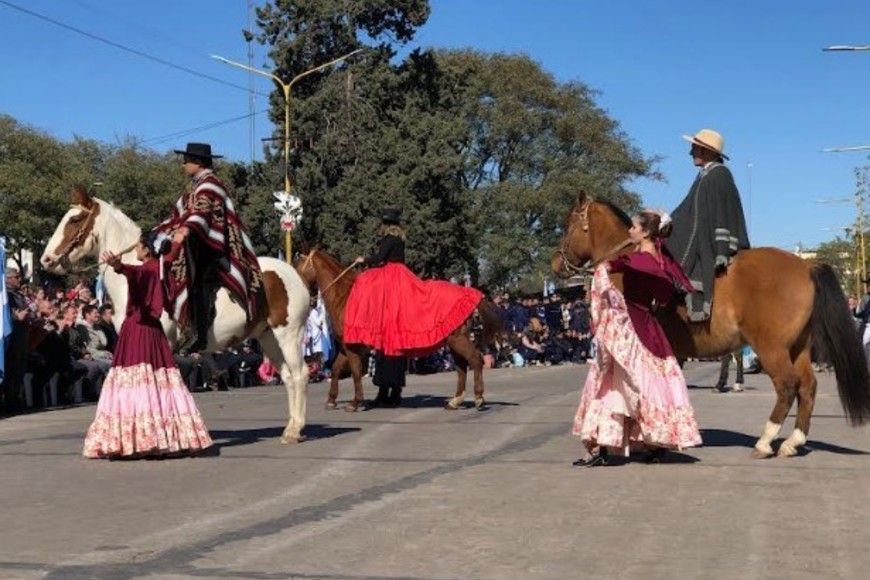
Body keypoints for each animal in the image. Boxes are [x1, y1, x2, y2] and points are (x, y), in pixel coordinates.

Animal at [41, 190, 314, 444]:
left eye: (74, 219)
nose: (46, 260)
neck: (138, 275)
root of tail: (294, 274)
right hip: (269, 338)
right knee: (288, 377)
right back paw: (290, 428)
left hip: (289, 335)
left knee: (300, 374)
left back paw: (295, 431)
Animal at [294, 251, 504, 410]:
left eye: (297, 266)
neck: (345, 296)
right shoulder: (347, 348)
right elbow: (337, 370)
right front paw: (331, 400)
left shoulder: (353, 348)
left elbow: (354, 372)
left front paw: (355, 403)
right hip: (454, 342)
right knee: (461, 367)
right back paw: (455, 401)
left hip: (458, 340)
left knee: (475, 360)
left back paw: (478, 398)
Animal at [556, 193, 870, 460]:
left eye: (568, 224)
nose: (556, 262)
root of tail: (807, 265)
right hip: (798, 347)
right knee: (807, 386)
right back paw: (793, 442)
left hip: (771, 347)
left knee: (787, 385)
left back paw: (765, 441)